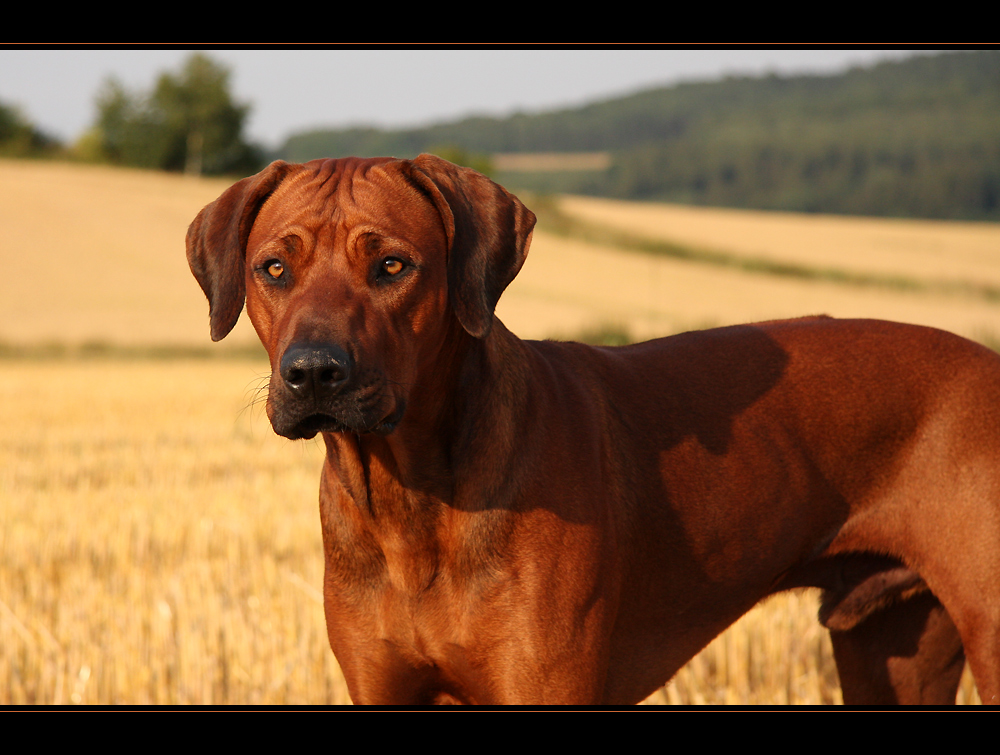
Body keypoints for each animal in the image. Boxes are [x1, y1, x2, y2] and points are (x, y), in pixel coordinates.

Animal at [186, 155, 1000, 708]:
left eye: (391, 265)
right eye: (273, 268)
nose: (313, 372)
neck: (412, 494)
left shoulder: (546, 684)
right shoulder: (383, 686)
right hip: (890, 649)